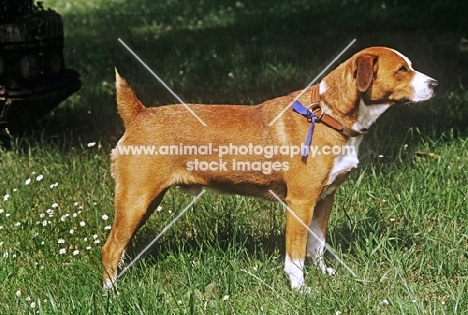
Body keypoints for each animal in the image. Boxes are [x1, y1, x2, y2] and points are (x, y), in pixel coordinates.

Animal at [102, 47, 438, 292]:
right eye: (401, 70)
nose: (435, 84)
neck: (327, 116)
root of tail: (139, 114)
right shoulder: (300, 202)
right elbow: (296, 255)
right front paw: (301, 289)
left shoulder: (325, 199)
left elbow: (317, 246)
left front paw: (324, 273)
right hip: (136, 199)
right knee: (109, 249)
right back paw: (112, 294)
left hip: (144, 201)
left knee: (120, 246)